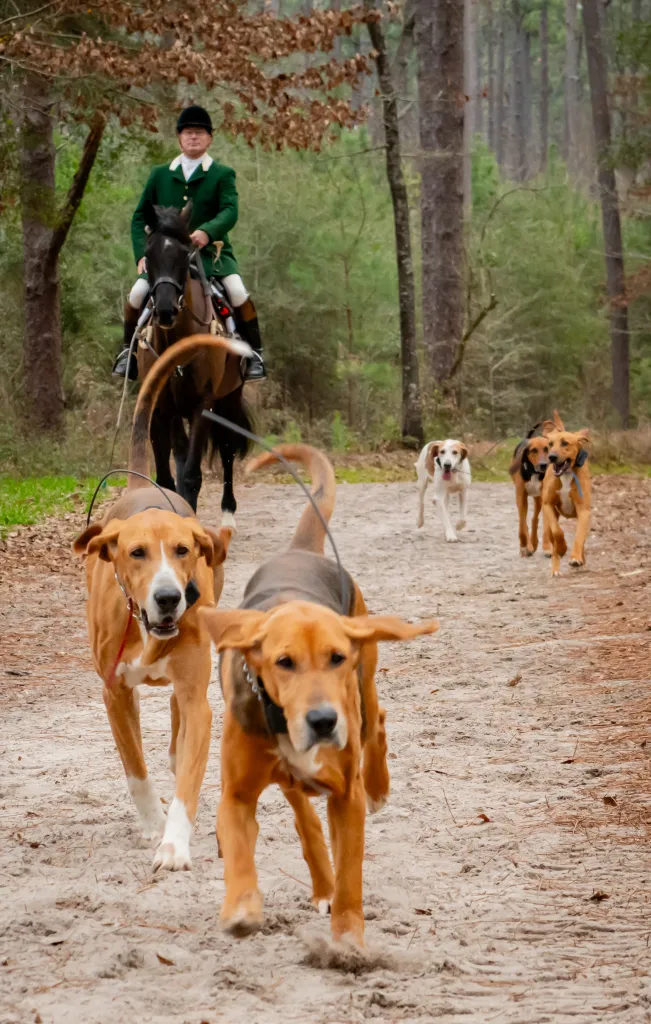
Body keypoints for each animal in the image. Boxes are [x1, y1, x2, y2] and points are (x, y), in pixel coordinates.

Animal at [136, 203, 251, 522]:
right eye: (148, 254)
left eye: (184, 253)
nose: (165, 311)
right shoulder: (161, 410)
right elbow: (166, 476)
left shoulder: (204, 405)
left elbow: (191, 475)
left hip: (229, 398)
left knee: (226, 449)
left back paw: (228, 514)